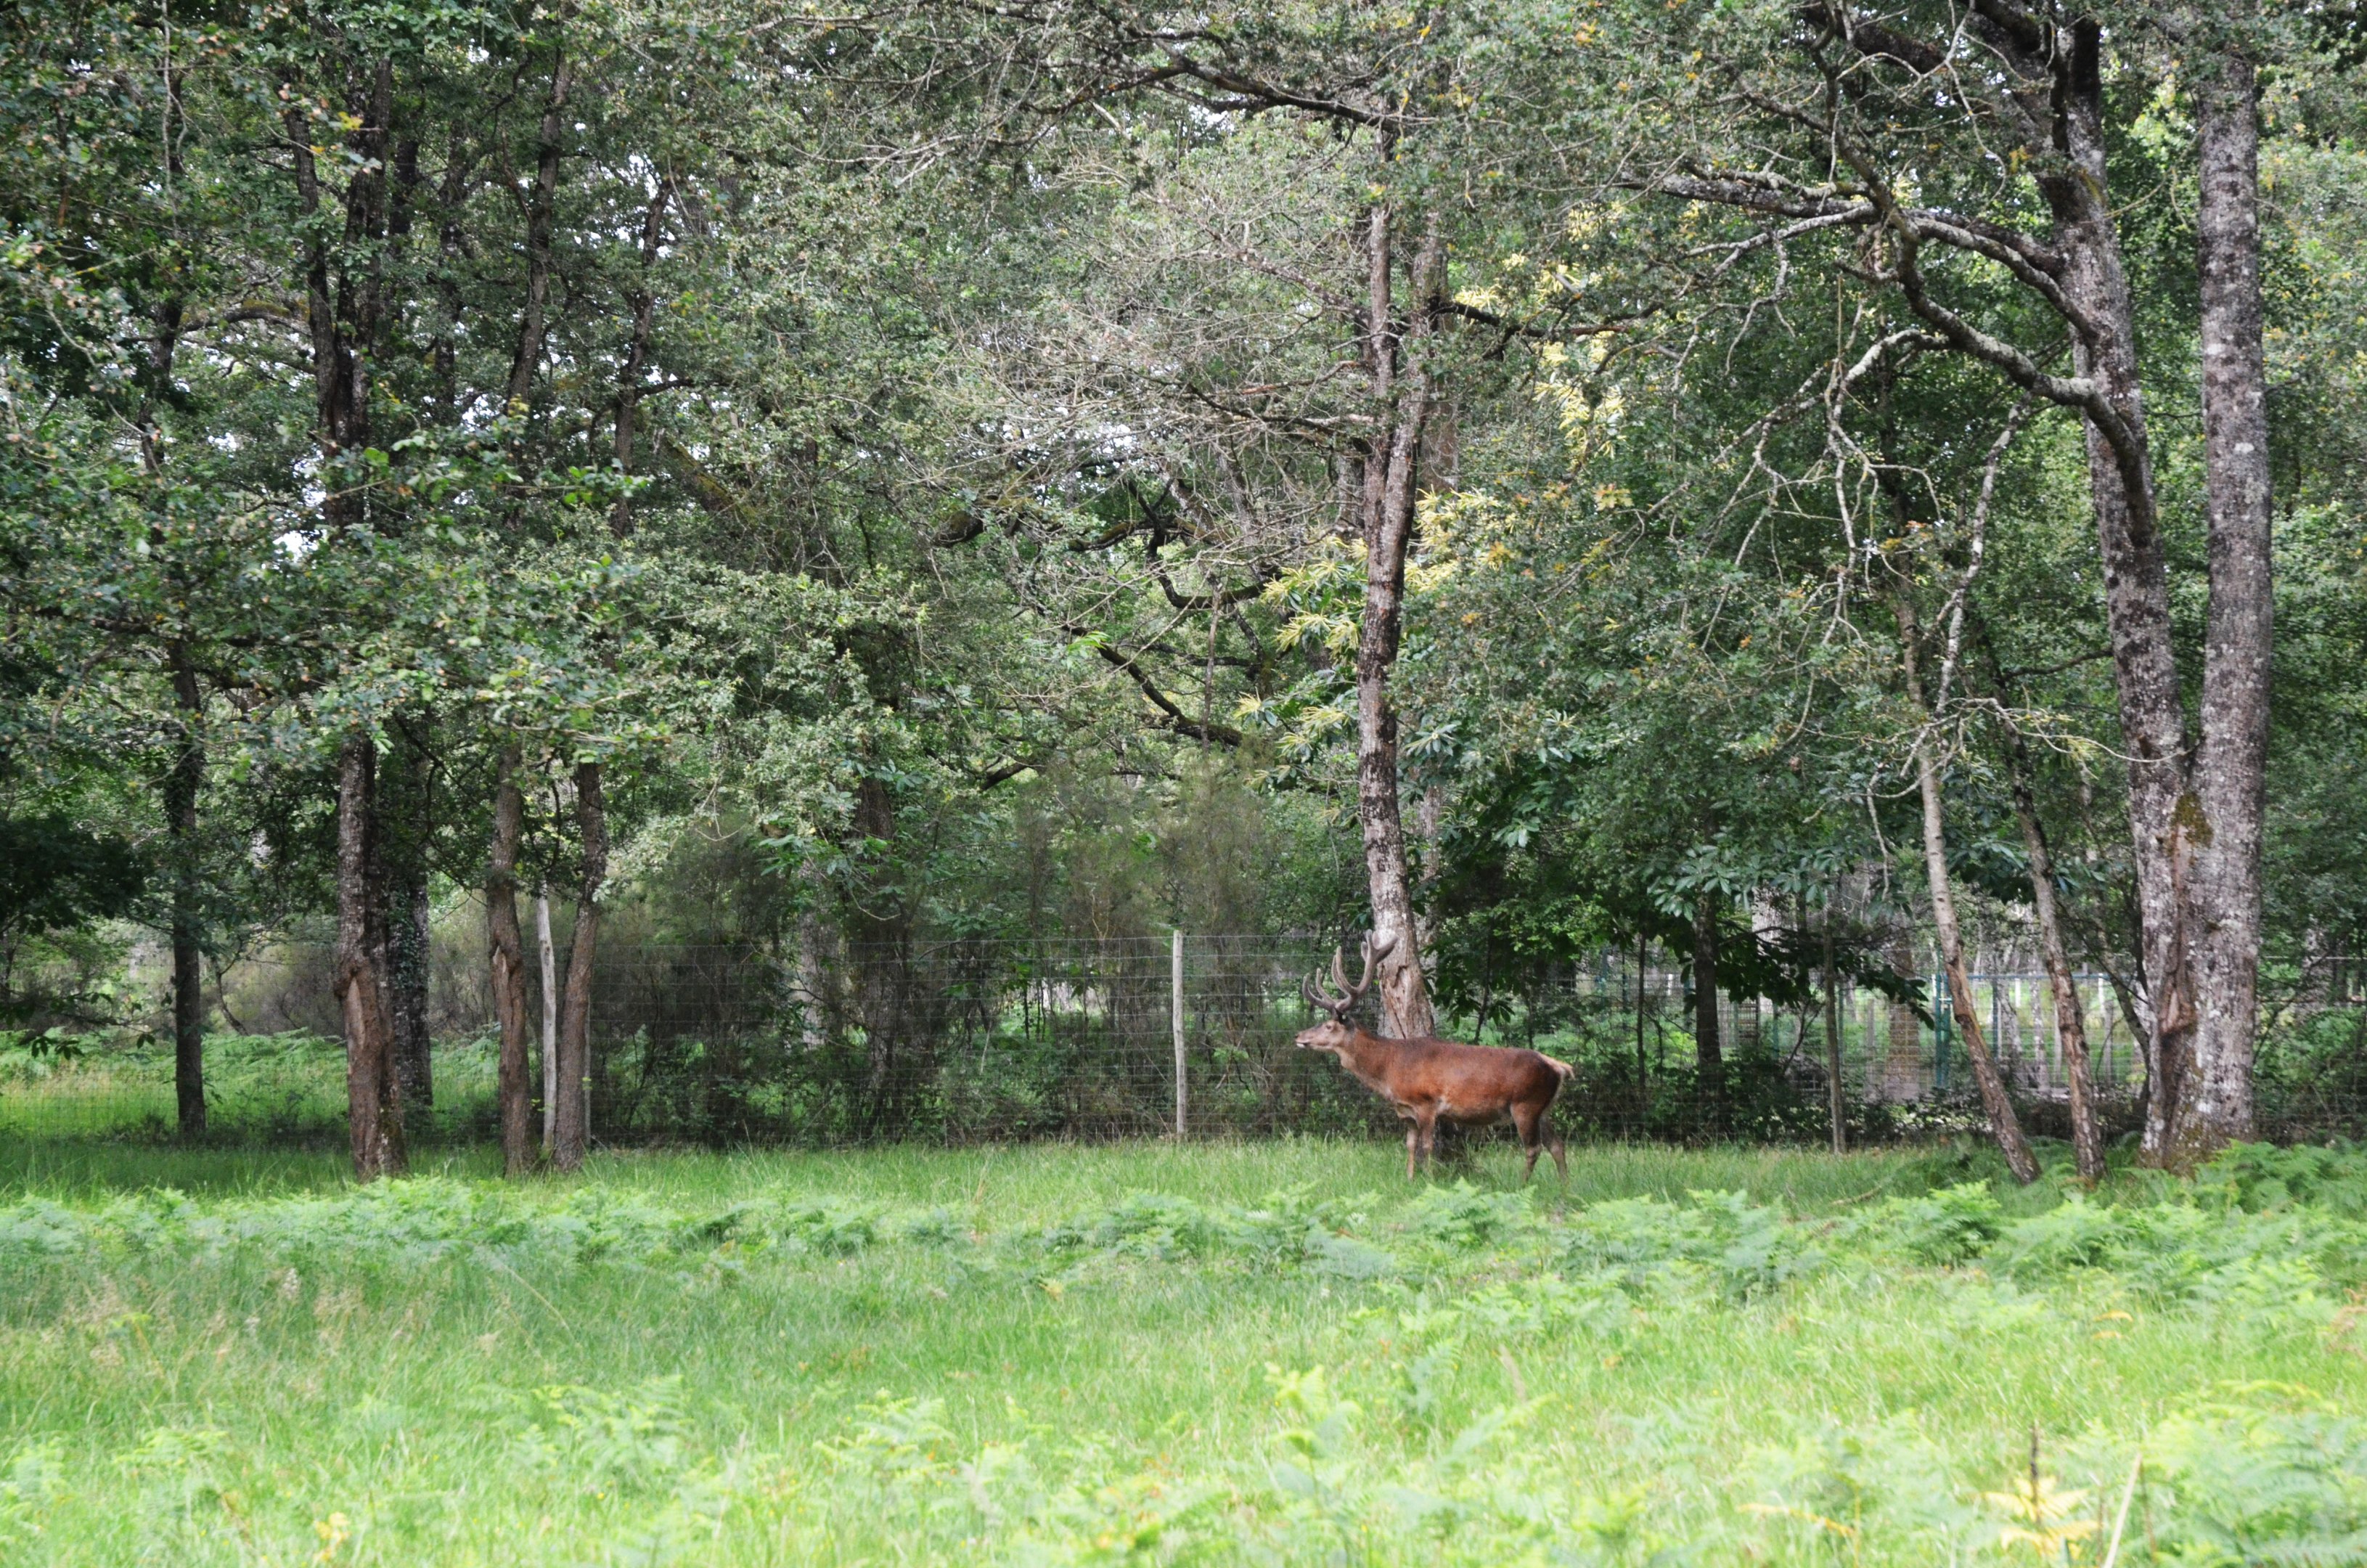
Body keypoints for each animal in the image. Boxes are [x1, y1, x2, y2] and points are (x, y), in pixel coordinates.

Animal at [1297, 934, 1572, 1182]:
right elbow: (1410, 1144)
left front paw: (1429, 1181)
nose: (1299, 1035)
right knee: (1557, 1145)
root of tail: (1559, 1067)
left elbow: (1427, 1146)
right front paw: (1409, 1180)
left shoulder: (1426, 1103)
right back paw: (1564, 1187)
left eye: (1329, 1026)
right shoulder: (1405, 1111)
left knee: (1534, 1148)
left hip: (1525, 1103)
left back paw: (1522, 1185)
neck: (1388, 1068)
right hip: (1542, 1108)